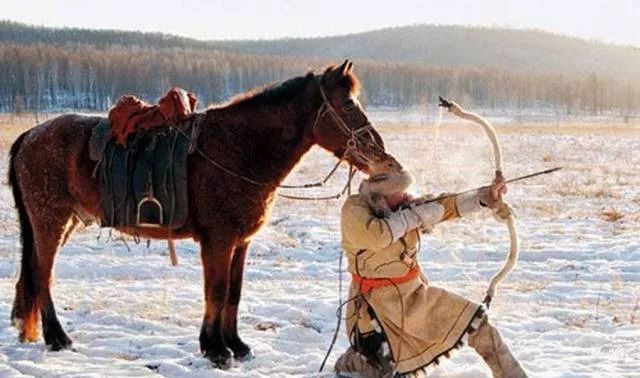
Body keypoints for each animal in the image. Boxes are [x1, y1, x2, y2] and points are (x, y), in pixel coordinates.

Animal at [8, 60, 400, 368]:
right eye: (346, 105)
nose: (381, 154)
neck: (239, 148)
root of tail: (30, 135)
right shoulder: (218, 241)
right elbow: (216, 291)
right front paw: (214, 348)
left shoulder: (240, 243)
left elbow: (233, 294)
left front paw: (235, 344)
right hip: (50, 221)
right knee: (42, 275)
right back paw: (57, 337)